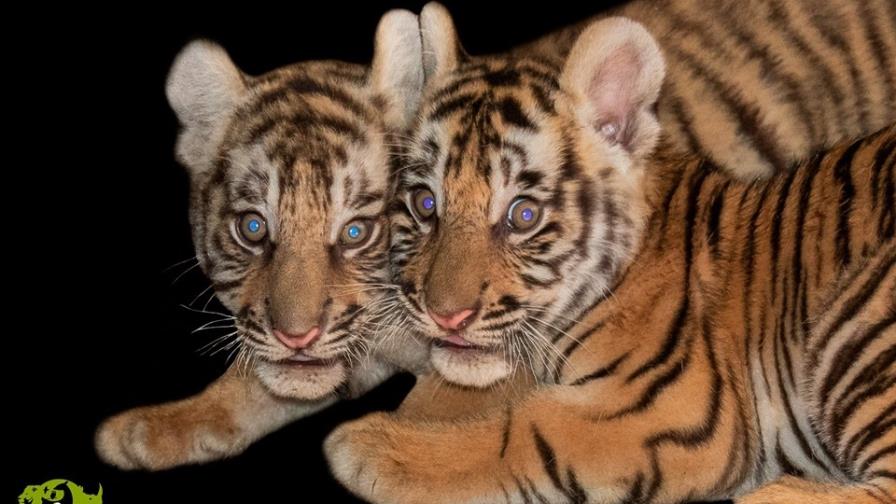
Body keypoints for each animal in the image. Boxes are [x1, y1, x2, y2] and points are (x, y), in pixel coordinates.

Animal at [321, 6, 896, 504]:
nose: (446, 316)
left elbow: (527, 428)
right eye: (425, 204)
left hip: (859, 317)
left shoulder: (670, 408)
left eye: (523, 215)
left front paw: (370, 446)